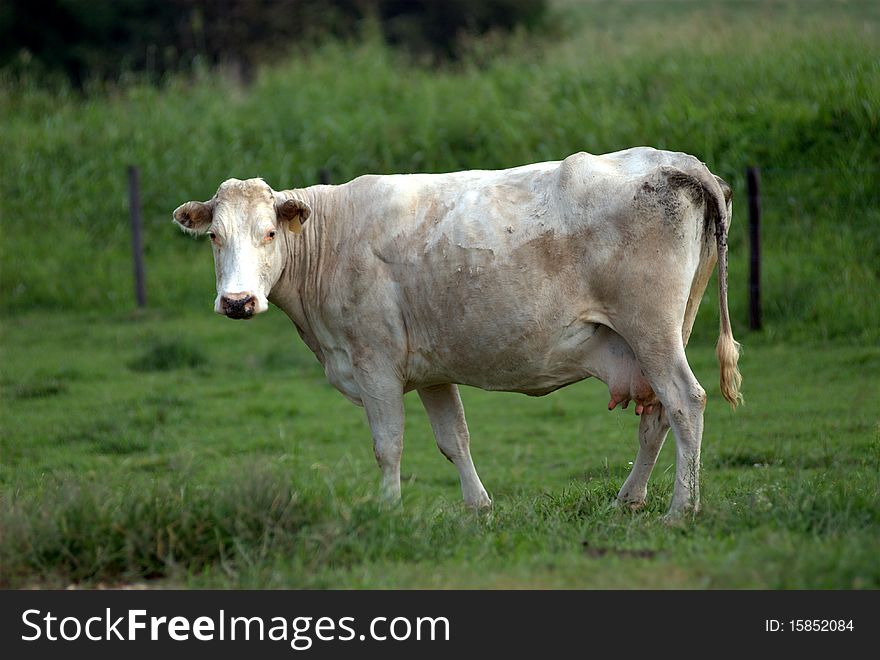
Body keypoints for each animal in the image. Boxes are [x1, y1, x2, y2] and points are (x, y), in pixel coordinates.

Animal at [175, 147, 740, 520]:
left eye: (269, 232)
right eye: (215, 237)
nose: (237, 302)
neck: (331, 239)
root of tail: (679, 162)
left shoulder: (375, 364)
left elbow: (389, 445)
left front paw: (389, 511)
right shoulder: (431, 370)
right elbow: (454, 440)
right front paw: (478, 507)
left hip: (652, 330)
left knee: (685, 402)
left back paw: (681, 509)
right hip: (660, 335)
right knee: (658, 417)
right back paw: (632, 498)